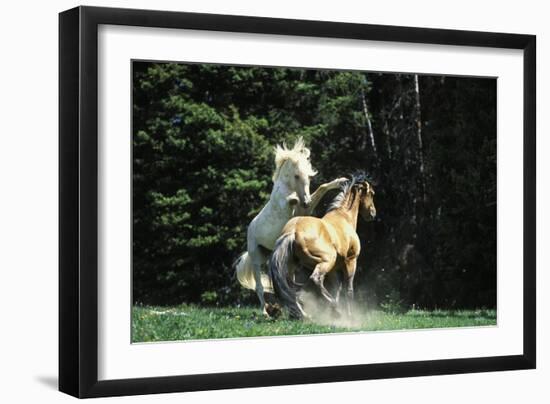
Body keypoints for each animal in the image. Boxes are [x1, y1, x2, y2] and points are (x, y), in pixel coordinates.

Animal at [235, 138, 348, 316]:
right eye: (296, 175)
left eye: (309, 177)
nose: (306, 201)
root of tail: (250, 227)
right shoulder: (286, 204)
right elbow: (290, 200)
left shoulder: (306, 209)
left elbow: (321, 188)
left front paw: (340, 181)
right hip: (256, 259)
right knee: (259, 287)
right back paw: (266, 312)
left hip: (274, 256)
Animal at [270, 175, 378, 320]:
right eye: (371, 194)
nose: (372, 213)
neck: (344, 217)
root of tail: (293, 231)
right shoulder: (351, 261)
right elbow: (348, 289)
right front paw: (349, 315)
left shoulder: (334, 269)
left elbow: (337, 289)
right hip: (327, 260)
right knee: (315, 279)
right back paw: (334, 309)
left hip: (294, 267)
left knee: (292, 288)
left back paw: (305, 314)